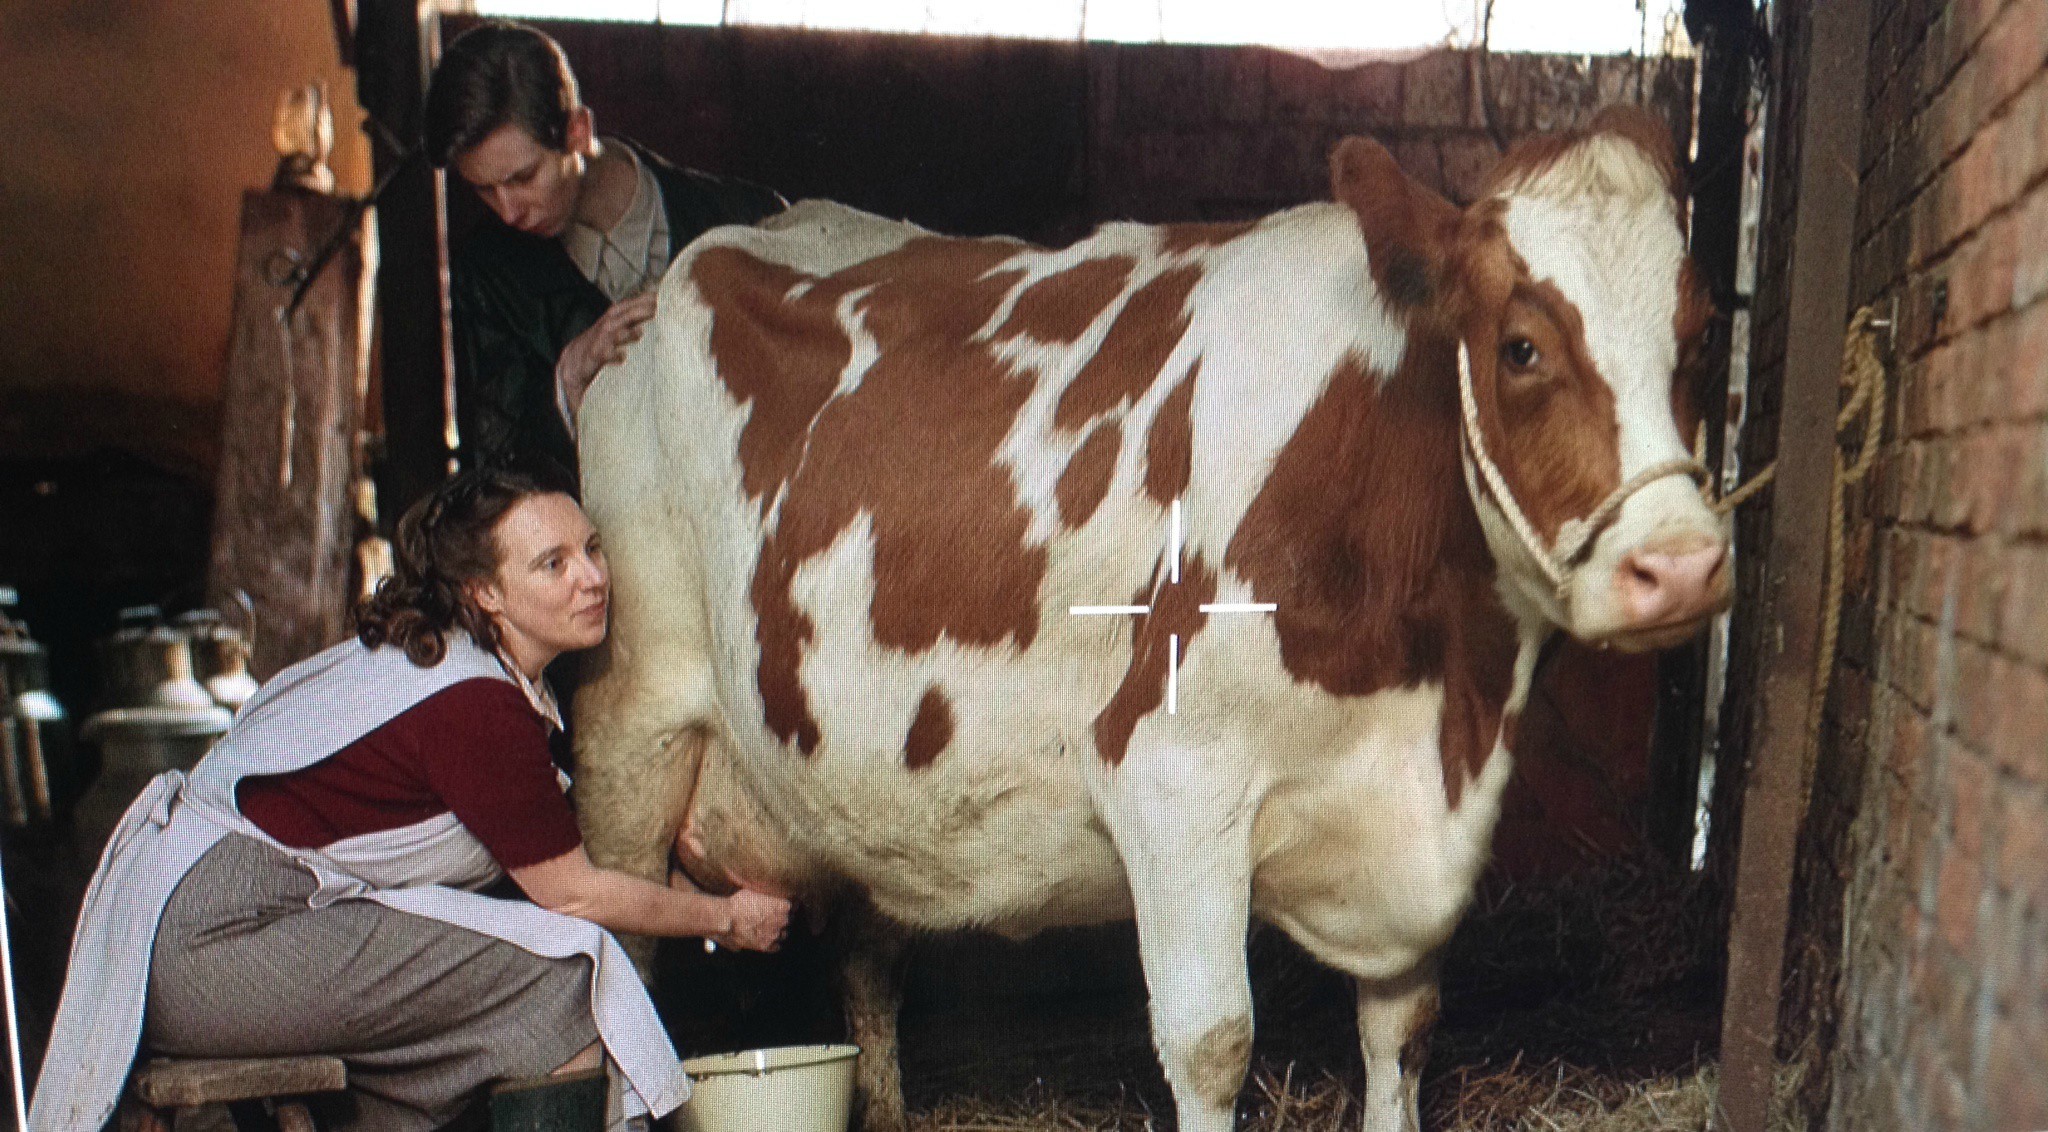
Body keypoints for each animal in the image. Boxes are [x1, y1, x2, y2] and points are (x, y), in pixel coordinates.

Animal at [570, 105, 1728, 1132]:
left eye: (1697, 333)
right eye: (1521, 346)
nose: (1679, 565)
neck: (1439, 696)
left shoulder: (1406, 827)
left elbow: (1400, 1038)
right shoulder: (1172, 775)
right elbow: (1211, 1043)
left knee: (866, 956)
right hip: (629, 725)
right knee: (622, 961)